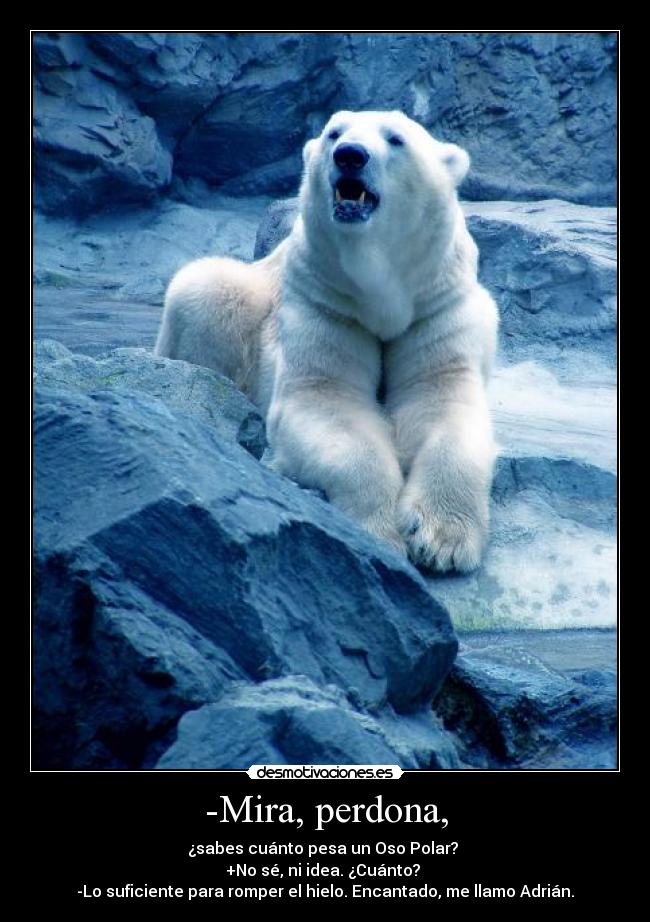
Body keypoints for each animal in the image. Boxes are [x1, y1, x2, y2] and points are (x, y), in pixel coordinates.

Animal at [155, 110, 498, 573]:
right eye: (334, 133)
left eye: (396, 139)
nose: (350, 155)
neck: (381, 291)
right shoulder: (325, 302)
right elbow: (327, 398)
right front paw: (381, 532)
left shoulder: (435, 304)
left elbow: (442, 399)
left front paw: (443, 540)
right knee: (206, 286)